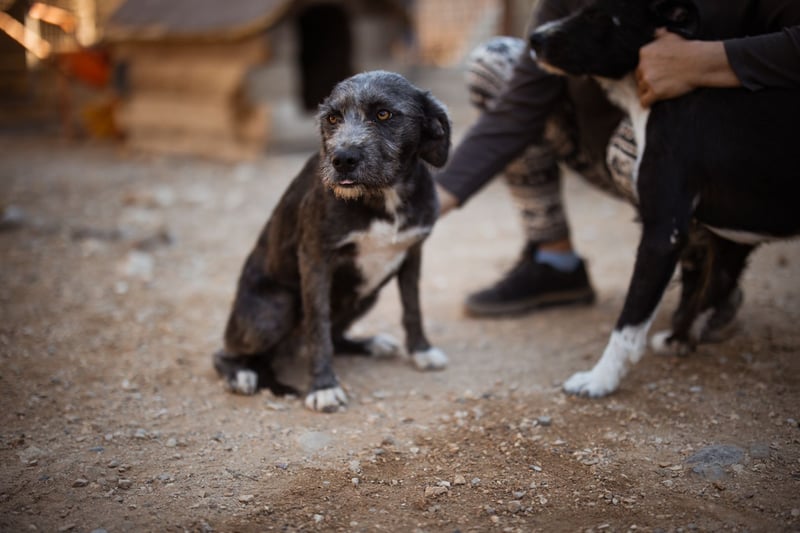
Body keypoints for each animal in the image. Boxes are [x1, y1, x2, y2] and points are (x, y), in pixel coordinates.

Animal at [214, 71, 451, 412]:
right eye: (332, 118)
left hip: (366, 296)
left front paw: (421, 350)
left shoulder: (412, 253)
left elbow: (412, 307)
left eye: (384, 114)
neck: (382, 196)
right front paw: (324, 387)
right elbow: (318, 328)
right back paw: (241, 374)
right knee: (224, 353)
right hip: (274, 310)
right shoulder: (315, 259)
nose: (342, 159)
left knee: (337, 336)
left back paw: (370, 343)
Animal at [528, 0, 800, 397]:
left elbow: (628, 324)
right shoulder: (729, 237)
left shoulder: (663, 232)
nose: (534, 38)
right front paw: (679, 340)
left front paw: (600, 379)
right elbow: (710, 286)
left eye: (596, 15)